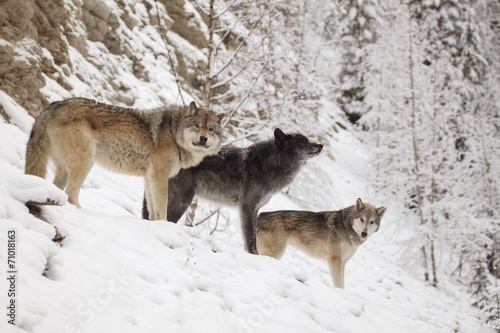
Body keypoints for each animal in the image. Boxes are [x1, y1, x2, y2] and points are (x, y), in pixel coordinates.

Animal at [24, 96, 224, 220]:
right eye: (197, 126)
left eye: (210, 129)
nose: (203, 138)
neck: (174, 134)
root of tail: (52, 107)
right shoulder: (159, 177)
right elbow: (162, 209)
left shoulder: (149, 178)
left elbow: (152, 210)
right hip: (85, 164)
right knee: (71, 194)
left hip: (65, 171)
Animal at [143, 128, 322, 253]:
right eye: (302, 143)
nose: (320, 145)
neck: (270, 165)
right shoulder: (247, 207)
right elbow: (250, 238)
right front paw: (253, 255)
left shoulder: (255, 209)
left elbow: (252, 237)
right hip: (183, 200)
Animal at [258, 197, 386, 288]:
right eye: (362, 219)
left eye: (372, 222)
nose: (364, 233)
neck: (347, 227)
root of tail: (260, 215)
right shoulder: (335, 259)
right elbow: (339, 284)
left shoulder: (343, 261)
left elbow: (343, 283)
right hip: (275, 253)